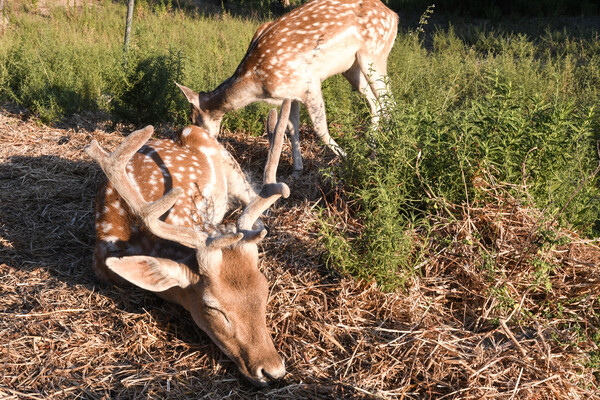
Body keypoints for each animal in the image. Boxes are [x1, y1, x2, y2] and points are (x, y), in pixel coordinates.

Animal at [177, 0, 398, 173]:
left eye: (194, 119)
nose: (201, 142)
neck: (256, 85)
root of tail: (394, 16)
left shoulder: (308, 82)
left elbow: (320, 128)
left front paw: (348, 158)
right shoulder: (291, 94)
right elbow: (292, 128)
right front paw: (297, 169)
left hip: (373, 53)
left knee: (390, 103)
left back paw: (384, 149)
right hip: (351, 67)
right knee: (376, 103)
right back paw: (372, 145)